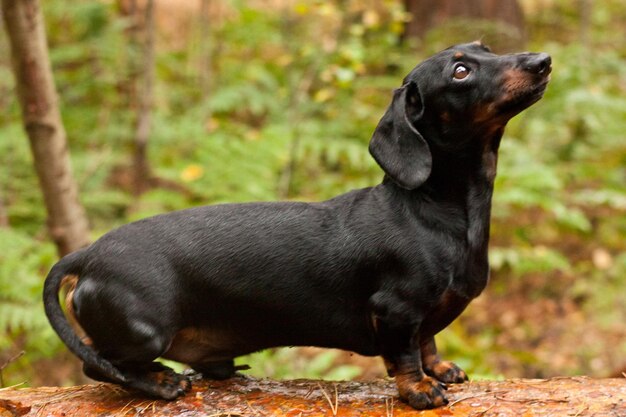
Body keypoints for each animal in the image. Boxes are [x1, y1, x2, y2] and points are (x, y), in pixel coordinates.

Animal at [45, 41, 552, 406]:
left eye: (485, 47)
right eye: (460, 71)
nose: (543, 61)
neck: (431, 210)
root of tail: (87, 256)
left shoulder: (425, 315)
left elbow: (429, 340)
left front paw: (442, 369)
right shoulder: (397, 310)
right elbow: (407, 353)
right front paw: (420, 388)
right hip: (145, 330)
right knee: (100, 364)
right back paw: (161, 382)